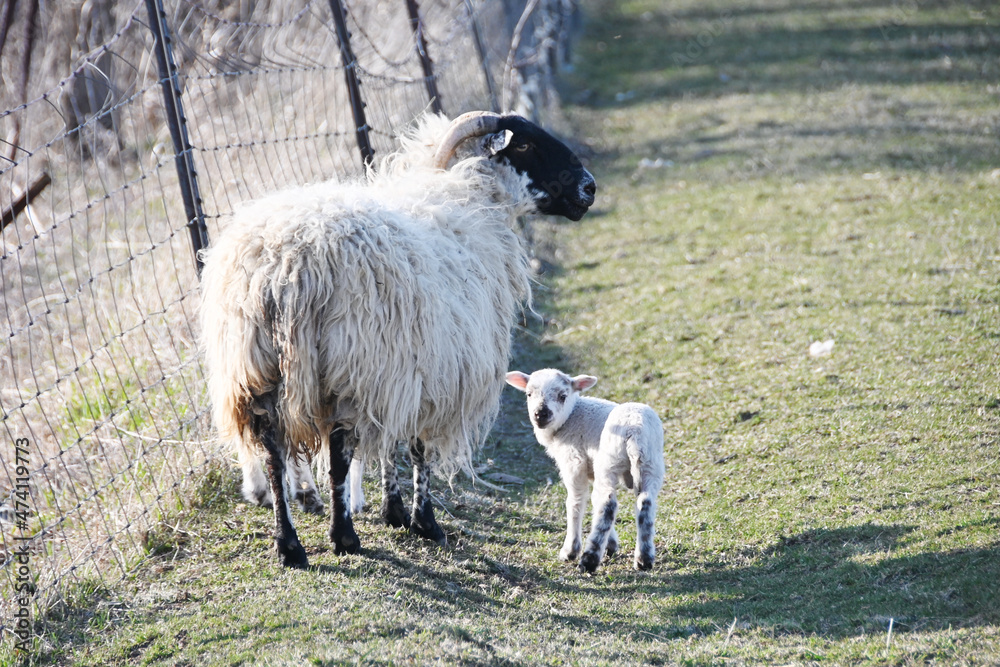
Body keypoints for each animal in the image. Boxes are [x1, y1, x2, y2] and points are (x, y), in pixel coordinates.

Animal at [201, 111, 596, 568]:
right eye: (526, 145)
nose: (589, 187)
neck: (468, 200)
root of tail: (283, 266)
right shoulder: (429, 373)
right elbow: (418, 447)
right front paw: (423, 521)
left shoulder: (398, 371)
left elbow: (392, 442)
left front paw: (394, 512)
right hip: (347, 367)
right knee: (338, 455)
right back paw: (343, 536)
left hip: (256, 369)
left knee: (272, 456)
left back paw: (290, 546)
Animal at [505, 368, 665, 572]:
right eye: (528, 394)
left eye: (562, 396)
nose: (540, 414)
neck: (572, 416)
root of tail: (634, 431)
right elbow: (593, 504)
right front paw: (611, 544)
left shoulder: (574, 463)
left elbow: (575, 502)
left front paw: (570, 551)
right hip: (651, 464)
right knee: (645, 503)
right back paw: (644, 559)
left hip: (609, 462)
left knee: (607, 504)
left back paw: (590, 559)